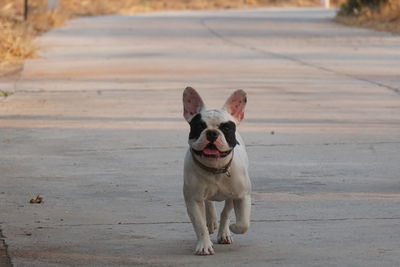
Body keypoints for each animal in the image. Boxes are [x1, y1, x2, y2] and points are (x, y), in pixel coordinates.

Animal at [183, 87, 252, 256]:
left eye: (226, 128)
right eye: (200, 127)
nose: (212, 133)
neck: (214, 167)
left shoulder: (242, 196)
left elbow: (243, 223)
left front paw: (234, 227)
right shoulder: (193, 200)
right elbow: (199, 225)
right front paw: (204, 245)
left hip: (232, 196)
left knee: (226, 212)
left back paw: (225, 232)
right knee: (208, 204)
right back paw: (211, 221)